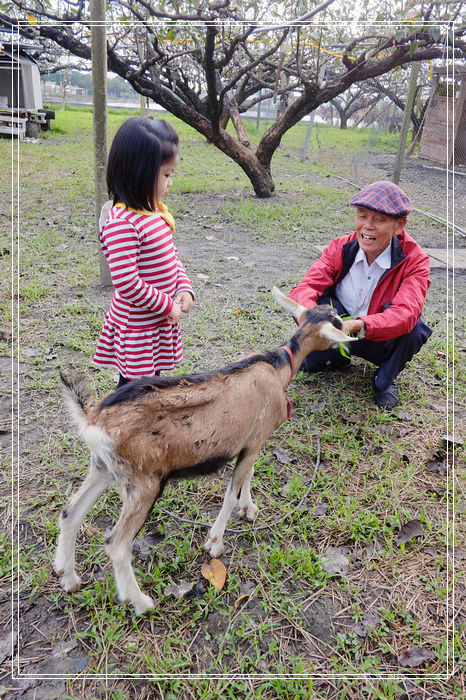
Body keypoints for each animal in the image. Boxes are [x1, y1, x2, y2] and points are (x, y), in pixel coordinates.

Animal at [55, 286, 354, 612]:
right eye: (338, 322)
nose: (358, 327)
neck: (277, 366)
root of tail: (92, 418)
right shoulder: (256, 439)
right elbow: (231, 492)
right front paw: (215, 543)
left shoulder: (252, 440)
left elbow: (248, 476)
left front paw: (249, 509)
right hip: (144, 482)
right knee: (117, 543)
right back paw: (141, 602)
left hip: (104, 468)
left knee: (69, 513)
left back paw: (69, 578)